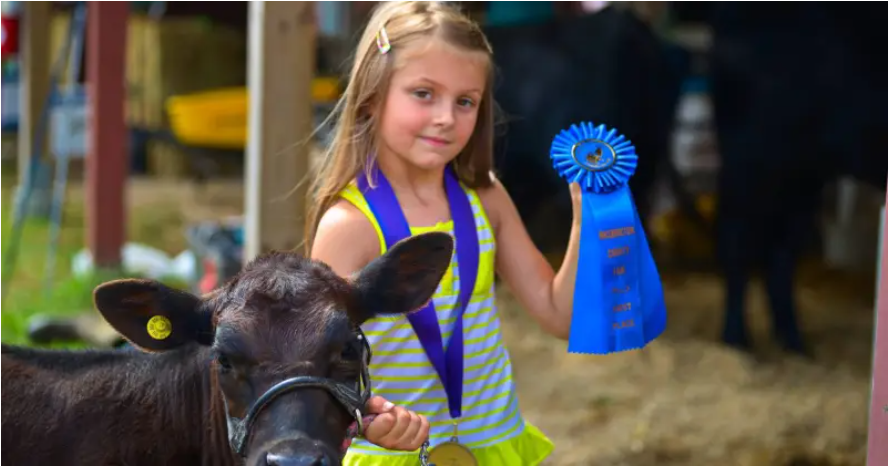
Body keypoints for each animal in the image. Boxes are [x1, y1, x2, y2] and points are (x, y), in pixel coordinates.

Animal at [708, 2, 888, 354]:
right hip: (754, 159)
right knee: (738, 240)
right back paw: (737, 343)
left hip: (803, 173)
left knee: (781, 252)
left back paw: (794, 344)